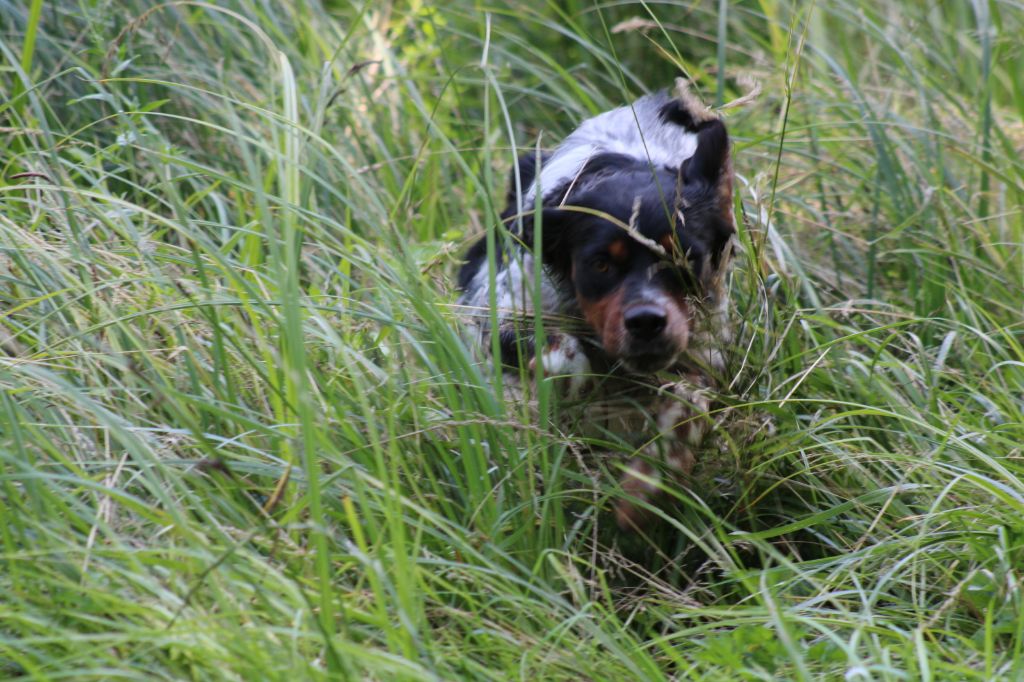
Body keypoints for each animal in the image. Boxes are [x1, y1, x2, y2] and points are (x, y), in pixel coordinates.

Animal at [458, 82, 737, 528]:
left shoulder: (703, 352)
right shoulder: (496, 315)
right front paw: (577, 385)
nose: (646, 322)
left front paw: (646, 487)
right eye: (601, 264)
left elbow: (687, 404)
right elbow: (565, 355)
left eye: (686, 258)